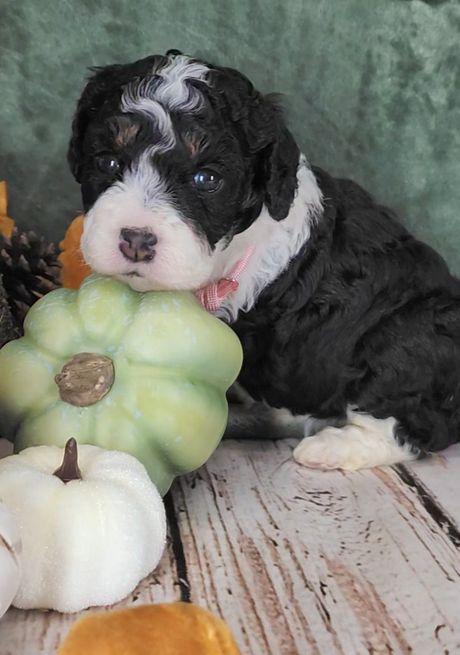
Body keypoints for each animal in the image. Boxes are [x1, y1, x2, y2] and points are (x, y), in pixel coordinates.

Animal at [67, 51, 460, 472]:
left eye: (206, 178)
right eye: (107, 163)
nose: (137, 241)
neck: (236, 248)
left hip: (406, 342)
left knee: (411, 425)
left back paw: (331, 447)